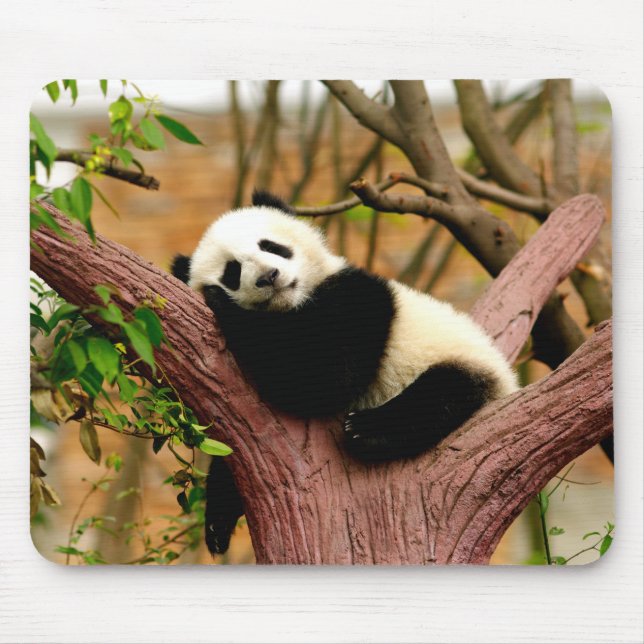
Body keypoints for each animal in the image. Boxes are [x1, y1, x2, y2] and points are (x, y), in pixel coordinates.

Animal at [171, 189, 518, 554]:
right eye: (233, 271)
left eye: (271, 246)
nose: (268, 276)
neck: (294, 304)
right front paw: (218, 519)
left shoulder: (358, 299)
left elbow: (323, 380)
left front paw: (222, 304)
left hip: (462, 360)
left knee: (441, 393)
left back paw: (368, 429)